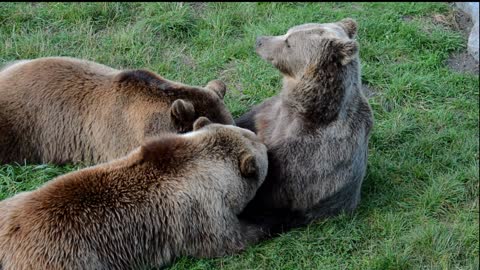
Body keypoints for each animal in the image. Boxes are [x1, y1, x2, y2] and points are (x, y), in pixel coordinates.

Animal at [0, 117, 270, 270]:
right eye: (263, 149)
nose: (263, 140)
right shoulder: (200, 212)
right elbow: (228, 239)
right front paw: (266, 222)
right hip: (65, 258)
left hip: (10, 204)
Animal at [236, 19, 376, 234]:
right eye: (287, 33)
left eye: (288, 43)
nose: (259, 40)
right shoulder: (270, 113)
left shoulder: (310, 153)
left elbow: (270, 186)